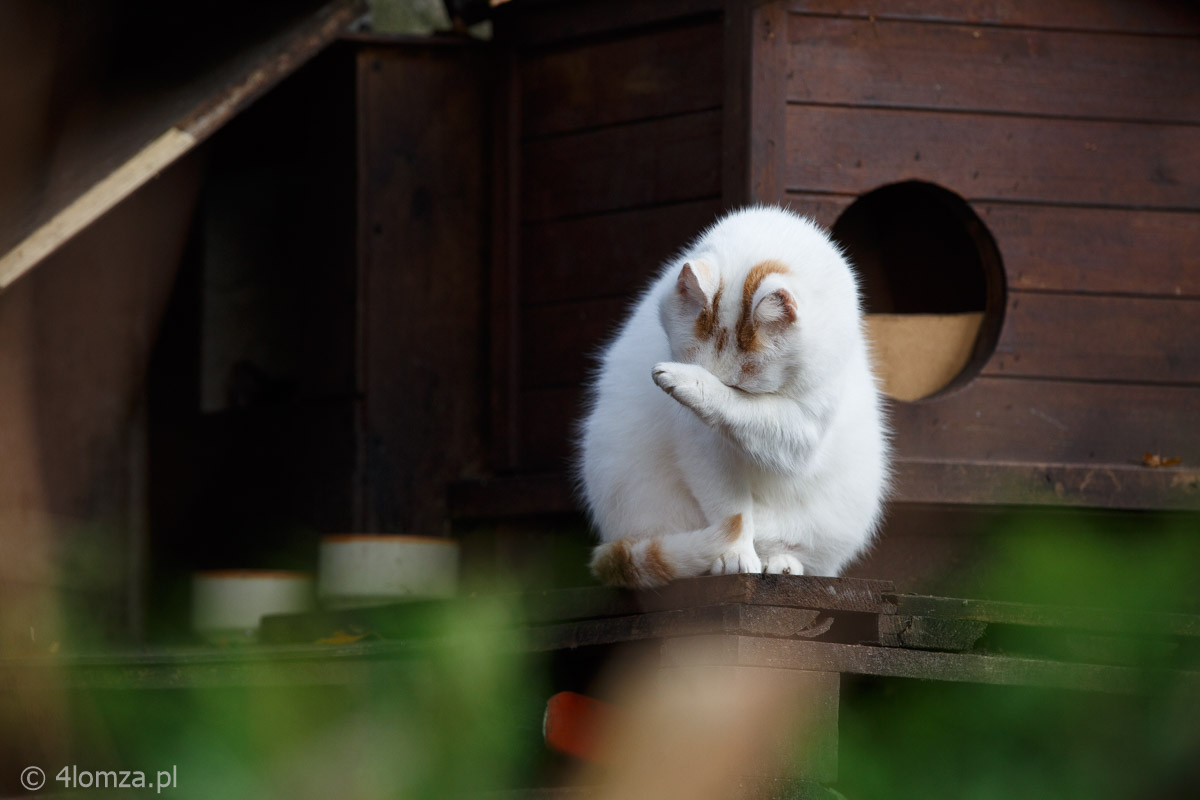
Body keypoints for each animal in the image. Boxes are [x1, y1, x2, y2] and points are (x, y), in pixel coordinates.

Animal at [576, 203, 888, 585]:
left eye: (741, 388)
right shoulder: (703, 447)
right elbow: (729, 509)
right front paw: (734, 554)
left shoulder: (800, 432)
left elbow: (746, 415)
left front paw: (688, 383)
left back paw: (781, 561)